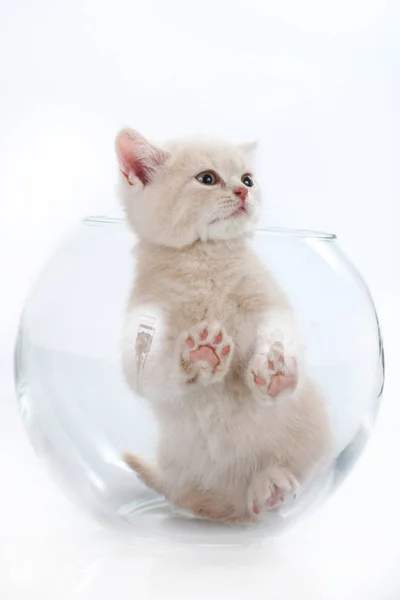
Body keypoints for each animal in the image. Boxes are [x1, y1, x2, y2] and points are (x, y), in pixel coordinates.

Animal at [116, 129, 332, 524]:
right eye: (207, 178)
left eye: (247, 179)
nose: (242, 192)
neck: (205, 259)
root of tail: (235, 516)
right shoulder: (143, 331)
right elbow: (153, 376)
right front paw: (202, 352)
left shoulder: (269, 302)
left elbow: (281, 332)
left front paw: (273, 373)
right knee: (195, 499)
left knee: (287, 475)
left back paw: (272, 485)